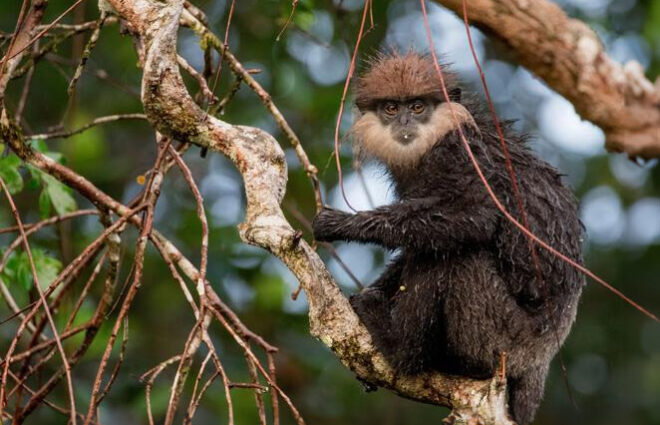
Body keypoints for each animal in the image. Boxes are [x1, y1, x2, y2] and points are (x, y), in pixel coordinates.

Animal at [312, 52, 584, 424]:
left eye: (417, 106)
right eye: (391, 108)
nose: (404, 124)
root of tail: (540, 360)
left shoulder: (459, 152)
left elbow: (478, 216)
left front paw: (344, 224)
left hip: (501, 342)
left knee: (454, 254)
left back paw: (402, 350)